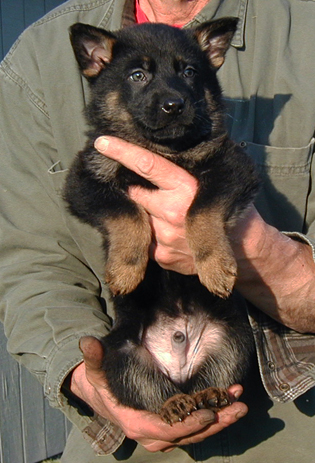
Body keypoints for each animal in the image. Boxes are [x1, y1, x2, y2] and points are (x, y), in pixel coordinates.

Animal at [64, 19, 260, 424]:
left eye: (189, 72)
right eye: (137, 75)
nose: (174, 105)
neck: (164, 150)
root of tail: (178, 362)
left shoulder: (231, 166)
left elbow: (200, 209)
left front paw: (215, 266)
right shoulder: (86, 178)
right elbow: (127, 212)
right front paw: (126, 269)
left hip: (233, 339)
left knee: (212, 376)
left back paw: (210, 395)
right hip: (120, 353)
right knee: (150, 391)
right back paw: (174, 404)